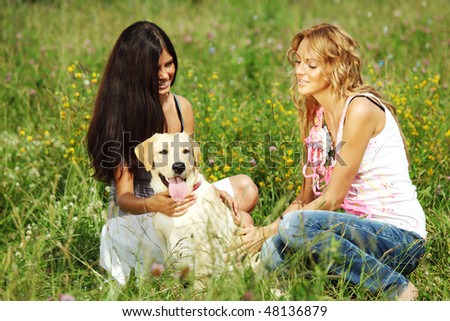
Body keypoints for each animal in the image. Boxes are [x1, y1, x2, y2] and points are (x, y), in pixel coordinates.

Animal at [135, 132, 258, 284]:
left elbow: (200, 275)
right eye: (163, 152)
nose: (178, 166)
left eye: (185, 151)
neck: (179, 201)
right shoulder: (164, 242)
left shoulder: (203, 243)